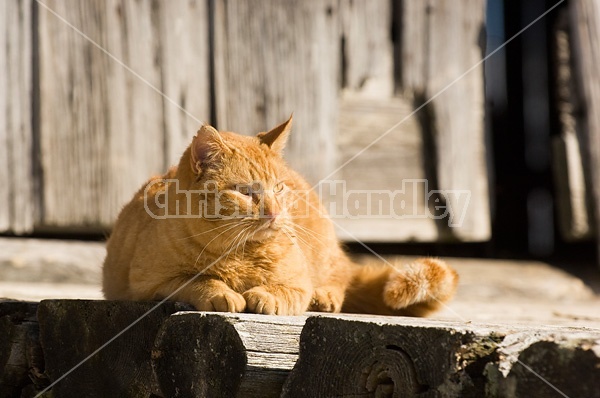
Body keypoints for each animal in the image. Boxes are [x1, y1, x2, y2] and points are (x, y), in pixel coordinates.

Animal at [104, 116, 460, 316]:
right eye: (246, 192)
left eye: (278, 188)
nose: (274, 212)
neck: (238, 253)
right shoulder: (149, 285)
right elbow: (197, 280)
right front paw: (222, 293)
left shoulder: (298, 282)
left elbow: (285, 291)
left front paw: (264, 296)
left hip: (326, 254)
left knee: (341, 277)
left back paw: (325, 297)